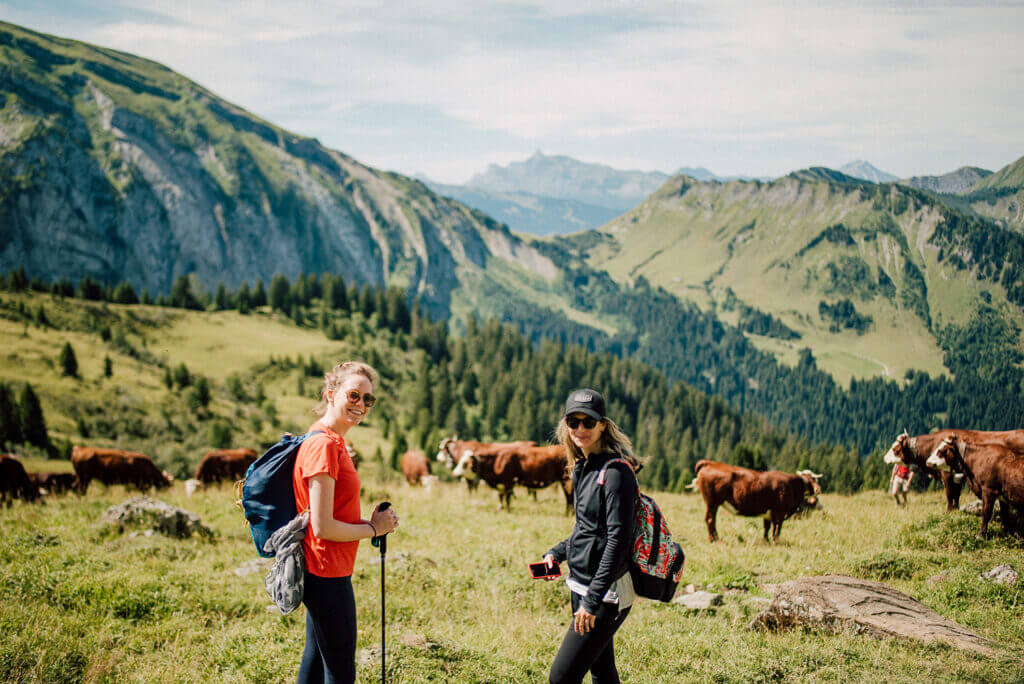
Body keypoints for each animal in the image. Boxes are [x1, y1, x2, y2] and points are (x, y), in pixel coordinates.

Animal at [880, 428, 1024, 511]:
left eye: (895, 449)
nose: (884, 458)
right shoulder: (957, 476)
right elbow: (956, 494)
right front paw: (956, 509)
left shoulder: (947, 474)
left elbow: (949, 494)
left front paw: (948, 511)